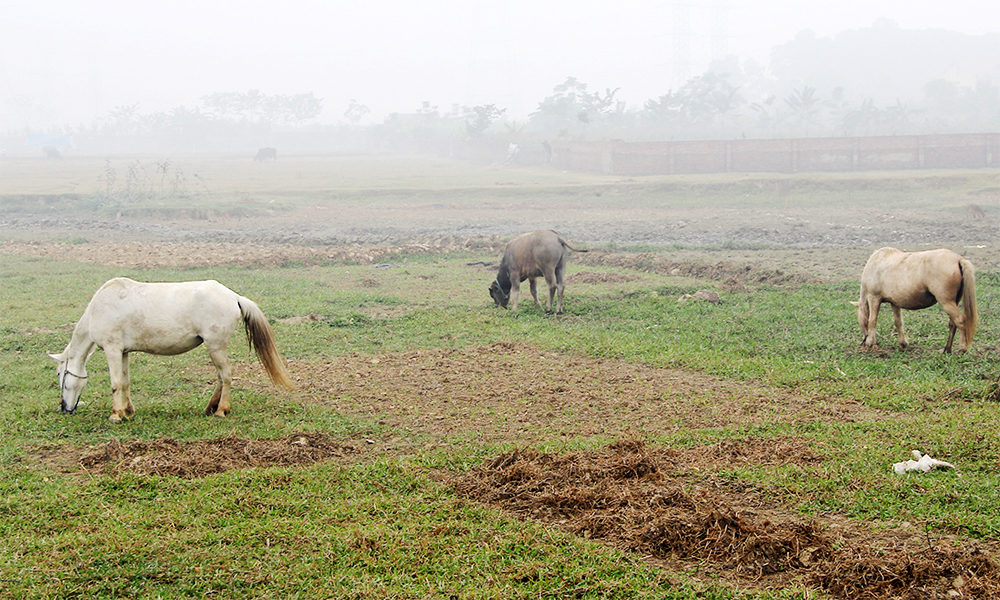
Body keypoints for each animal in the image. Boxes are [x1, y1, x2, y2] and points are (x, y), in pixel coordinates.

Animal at [49, 278, 292, 422]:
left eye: (60, 374)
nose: (64, 408)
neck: (99, 309)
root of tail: (234, 297)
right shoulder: (123, 352)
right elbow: (125, 382)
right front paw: (128, 411)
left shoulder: (112, 349)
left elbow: (116, 383)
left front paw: (116, 415)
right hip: (215, 348)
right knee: (221, 377)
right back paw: (210, 407)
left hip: (215, 346)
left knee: (227, 375)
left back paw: (221, 410)